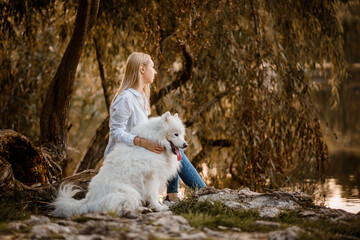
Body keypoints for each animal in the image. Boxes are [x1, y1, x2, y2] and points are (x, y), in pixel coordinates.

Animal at [52, 112, 187, 218]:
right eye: (175, 134)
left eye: (181, 134)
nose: (185, 145)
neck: (157, 140)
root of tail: (88, 201)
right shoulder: (152, 176)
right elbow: (153, 194)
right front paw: (159, 207)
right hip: (129, 192)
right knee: (114, 210)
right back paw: (141, 209)